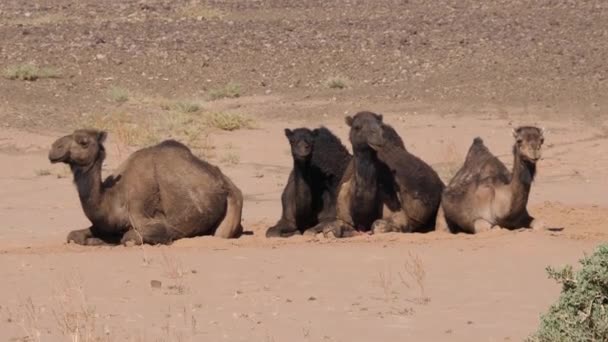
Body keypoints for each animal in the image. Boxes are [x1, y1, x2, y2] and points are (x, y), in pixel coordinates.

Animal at [48, 129, 242, 246]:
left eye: (83, 142)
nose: (54, 148)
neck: (113, 198)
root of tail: (224, 180)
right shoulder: (103, 224)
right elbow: (73, 235)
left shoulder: (154, 221)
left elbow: (130, 237)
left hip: (233, 203)